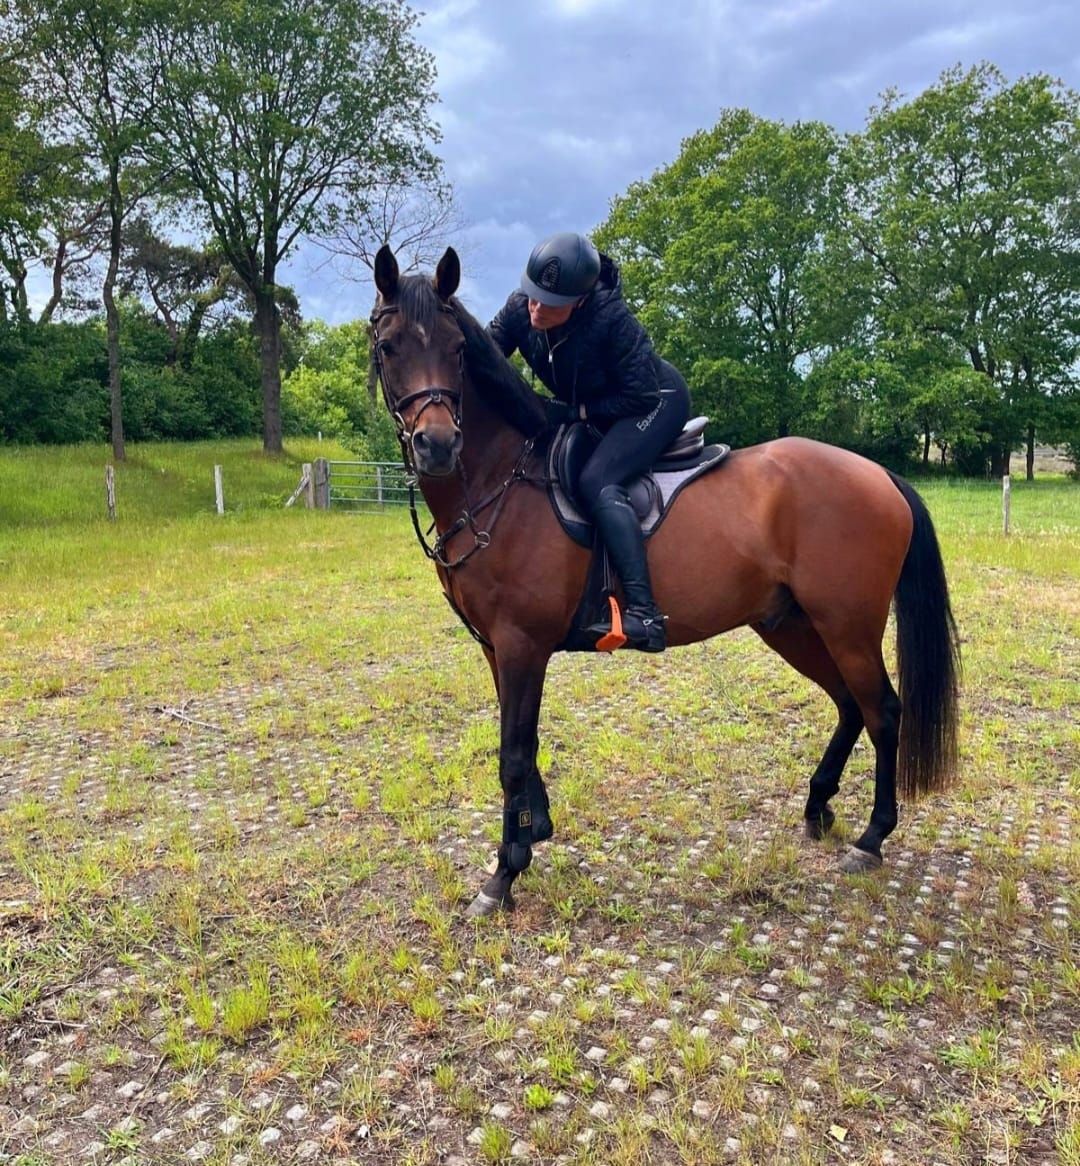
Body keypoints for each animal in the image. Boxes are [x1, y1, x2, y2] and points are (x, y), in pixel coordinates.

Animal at [368, 244, 960, 919]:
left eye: (457, 349)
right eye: (387, 346)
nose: (437, 445)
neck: (502, 479)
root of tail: (880, 475)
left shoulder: (522, 645)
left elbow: (513, 756)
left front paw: (504, 874)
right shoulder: (498, 648)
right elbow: (523, 743)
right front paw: (535, 829)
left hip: (848, 625)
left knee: (882, 711)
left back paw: (871, 837)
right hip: (792, 624)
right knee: (848, 704)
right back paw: (818, 806)